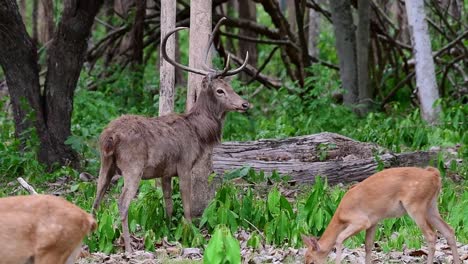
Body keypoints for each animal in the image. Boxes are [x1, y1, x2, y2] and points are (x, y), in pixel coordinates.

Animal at [93, 17, 250, 253]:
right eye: (220, 90)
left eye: (230, 86)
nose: (245, 104)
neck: (198, 133)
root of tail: (110, 136)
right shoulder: (184, 164)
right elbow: (186, 206)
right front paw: (191, 237)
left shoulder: (165, 171)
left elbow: (167, 204)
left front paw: (168, 234)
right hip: (133, 166)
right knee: (121, 203)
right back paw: (128, 247)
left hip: (105, 163)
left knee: (96, 199)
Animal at [302, 167, 458, 264]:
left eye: (310, 259)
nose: (308, 261)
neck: (341, 217)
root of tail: (435, 175)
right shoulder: (373, 222)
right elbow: (368, 245)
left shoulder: (361, 221)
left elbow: (339, 238)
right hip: (431, 206)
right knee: (449, 230)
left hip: (416, 205)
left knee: (431, 235)